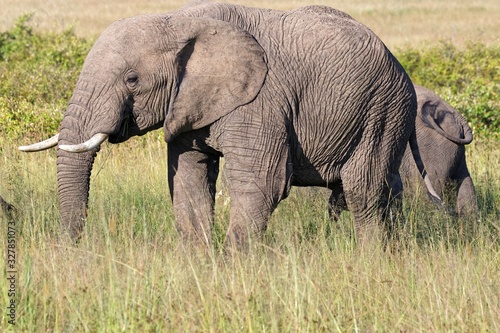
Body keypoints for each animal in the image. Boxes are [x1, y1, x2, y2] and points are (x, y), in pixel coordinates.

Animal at [19, 0, 432, 246]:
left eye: (132, 79)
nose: (69, 249)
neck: (178, 20)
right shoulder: (187, 103)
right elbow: (188, 179)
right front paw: (198, 261)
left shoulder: (262, 100)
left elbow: (261, 181)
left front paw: (237, 266)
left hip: (383, 109)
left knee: (363, 190)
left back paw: (370, 257)